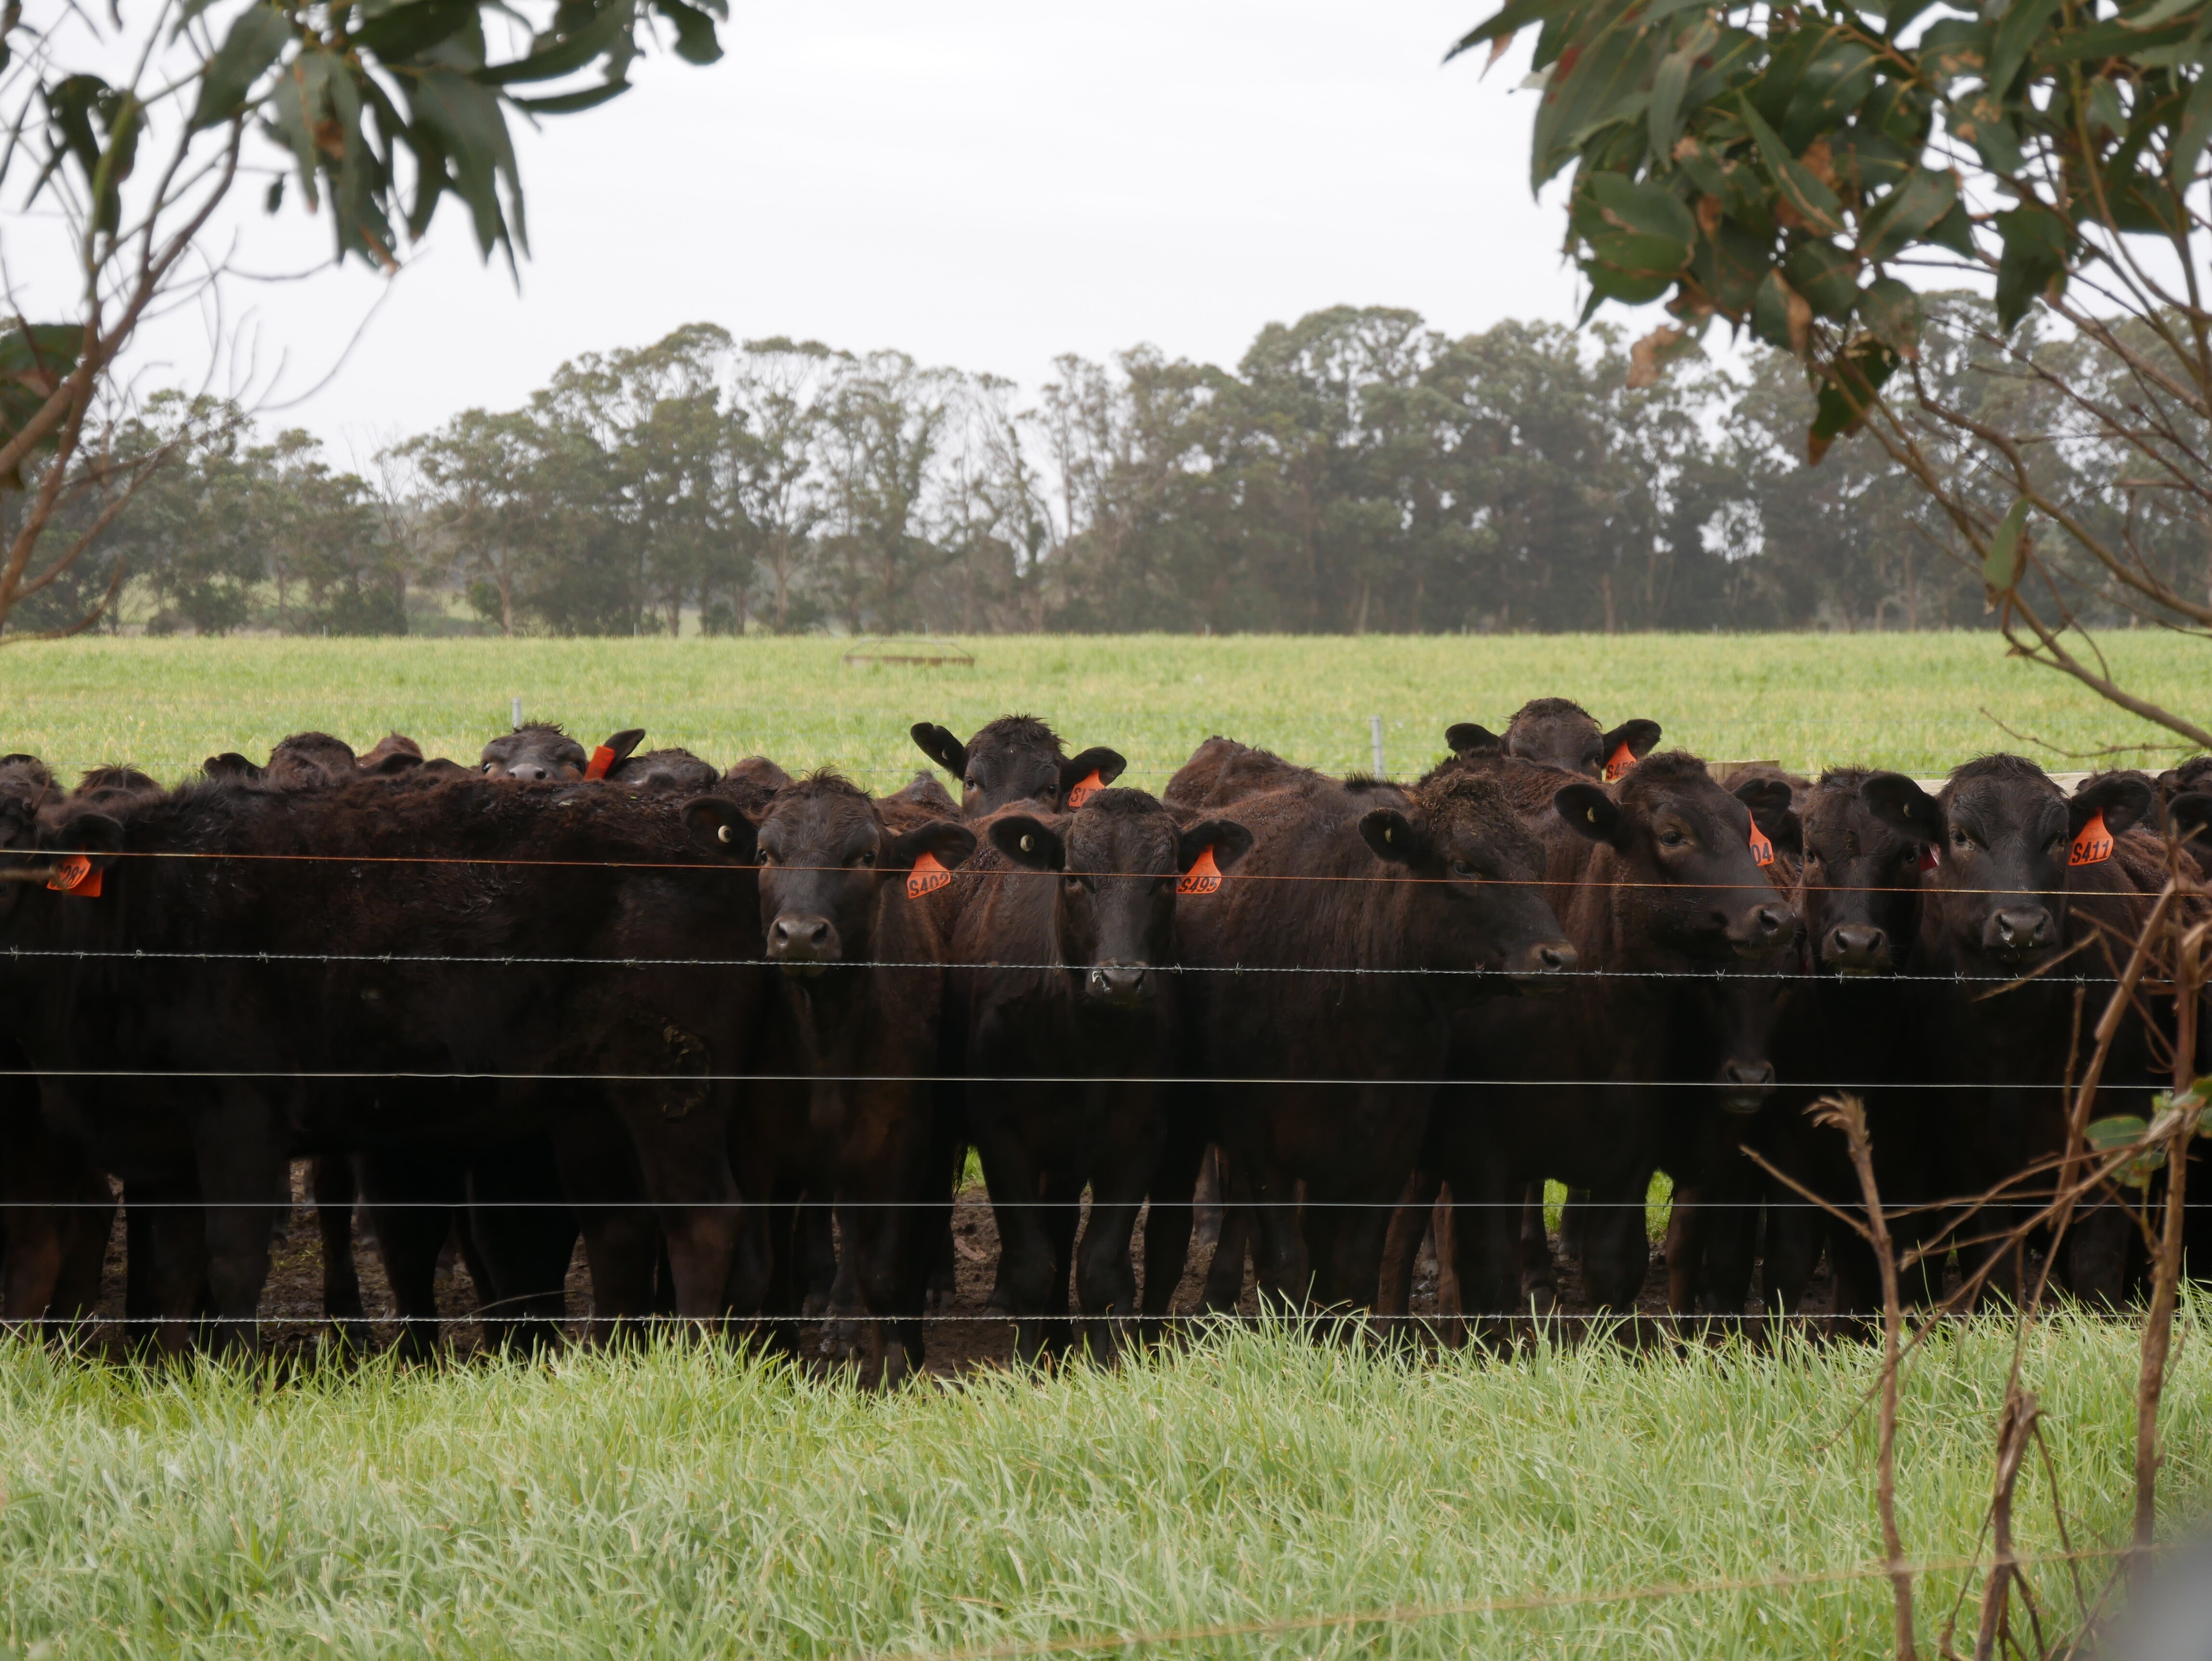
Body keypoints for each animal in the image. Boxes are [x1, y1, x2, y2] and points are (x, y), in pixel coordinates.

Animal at [946, 787, 1250, 1360]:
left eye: (1165, 881)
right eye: (1074, 877)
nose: (1121, 980)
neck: (1085, 1040)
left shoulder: (1140, 1134)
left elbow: (1101, 1263)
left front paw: (1107, 1360)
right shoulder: (1000, 1130)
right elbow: (1031, 1261)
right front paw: (1025, 1364)